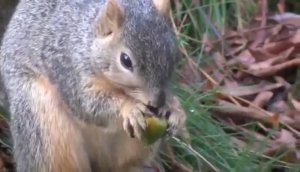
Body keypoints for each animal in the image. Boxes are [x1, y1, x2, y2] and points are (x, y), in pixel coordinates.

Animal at [0, 0, 188, 171]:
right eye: (125, 60)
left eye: (174, 55)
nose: (156, 103)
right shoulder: (68, 67)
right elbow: (88, 104)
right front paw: (130, 107)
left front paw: (176, 111)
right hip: (44, 128)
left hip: (133, 146)